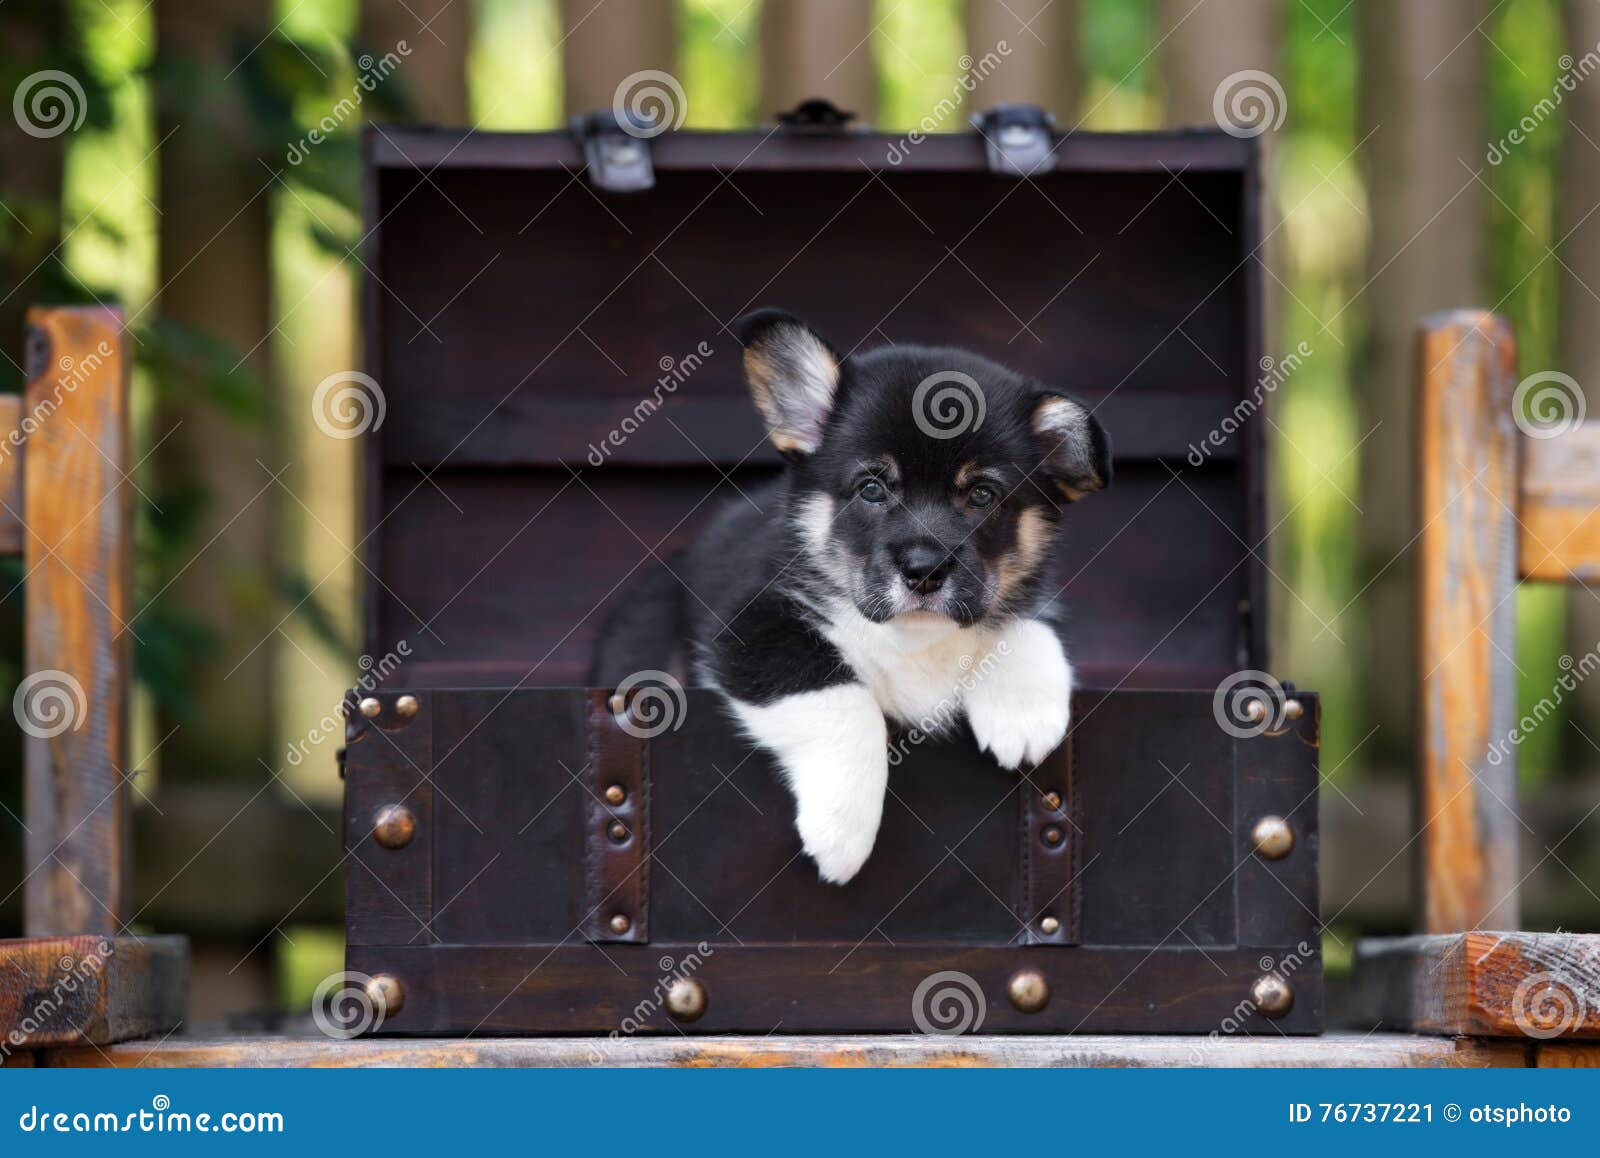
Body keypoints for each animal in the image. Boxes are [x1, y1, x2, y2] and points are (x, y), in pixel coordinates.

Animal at [592, 311, 1113, 882]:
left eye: (982, 495)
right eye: (871, 489)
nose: (925, 571)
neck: (914, 637)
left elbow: (1029, 623)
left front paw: (1022, 711)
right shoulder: (750, 628)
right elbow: (843, 700)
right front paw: (842, 830)